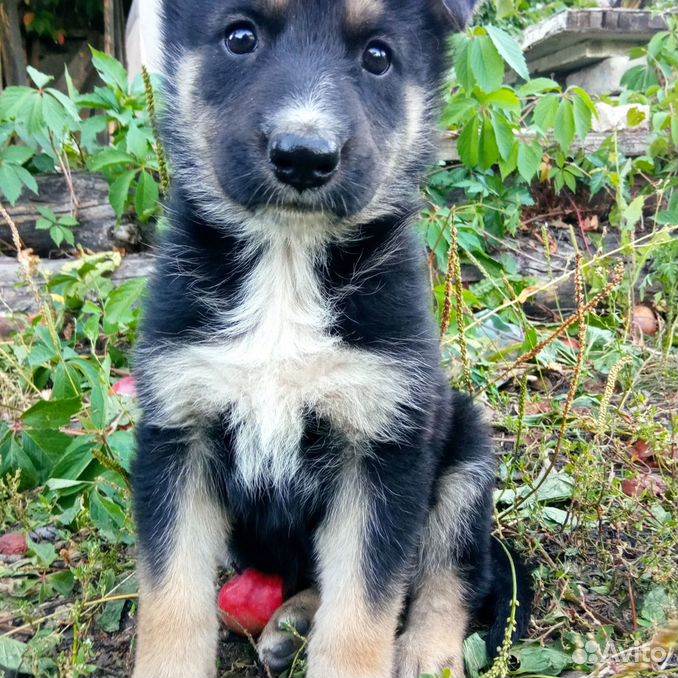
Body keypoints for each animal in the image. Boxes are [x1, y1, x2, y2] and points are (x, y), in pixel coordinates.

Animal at [133, 1, 532, 678]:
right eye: (240, 37)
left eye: (377, 56)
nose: (304, 156)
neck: (286, 260)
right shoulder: (177, 431)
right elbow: (171, 599)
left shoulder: (382, 449)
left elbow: (362, 610)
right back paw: (290, 624)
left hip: (467, 457)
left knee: (449, 572)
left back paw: (426, 653)